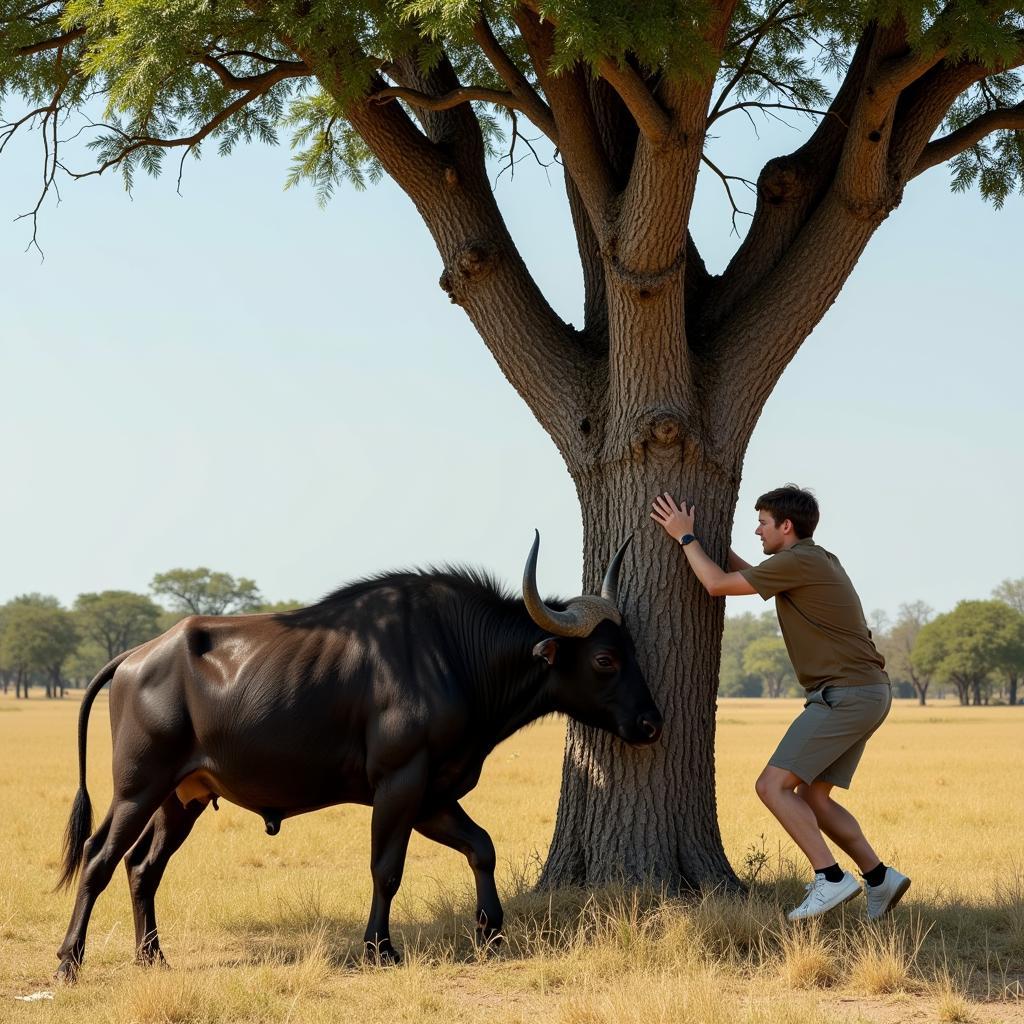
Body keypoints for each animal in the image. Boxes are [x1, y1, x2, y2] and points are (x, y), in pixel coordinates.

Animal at [56, 532, 663, 978]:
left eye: (633, 650)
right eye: (605, 659)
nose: (651, 724)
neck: (453, 655)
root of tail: (136, 656)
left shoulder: (433, 794)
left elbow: (482, 847)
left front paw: (490, 930)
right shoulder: (400, 783)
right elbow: (386, 868)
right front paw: (379, 947)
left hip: (182, 798)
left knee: (143, 866)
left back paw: (152, 957)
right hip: (138, 788)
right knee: (98, 856)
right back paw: (68, 961)